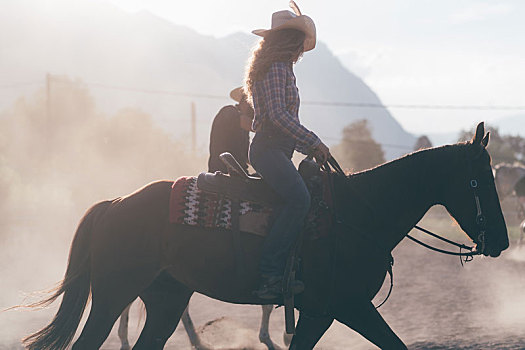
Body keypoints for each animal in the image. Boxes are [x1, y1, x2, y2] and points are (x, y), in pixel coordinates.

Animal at [22, 121, 506, 348]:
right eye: (480, 180)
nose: (501, 242)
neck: (355, 215)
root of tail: (117, 202)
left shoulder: (321, 314)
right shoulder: (348, 307)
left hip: (166, 298)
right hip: (112, 295)